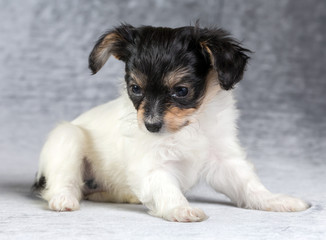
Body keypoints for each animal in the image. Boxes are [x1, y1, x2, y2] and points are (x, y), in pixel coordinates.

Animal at [33, 23, 310, 221]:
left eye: (181, 91)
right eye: (135, 88)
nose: (151, 125)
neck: (189, 126)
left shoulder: (224, 159)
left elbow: (248, 185)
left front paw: (275, 201)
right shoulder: (151, 166)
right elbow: (166, 187)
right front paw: (181, 209)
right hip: (67, 136)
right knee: (62, 182)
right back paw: (63, 200)